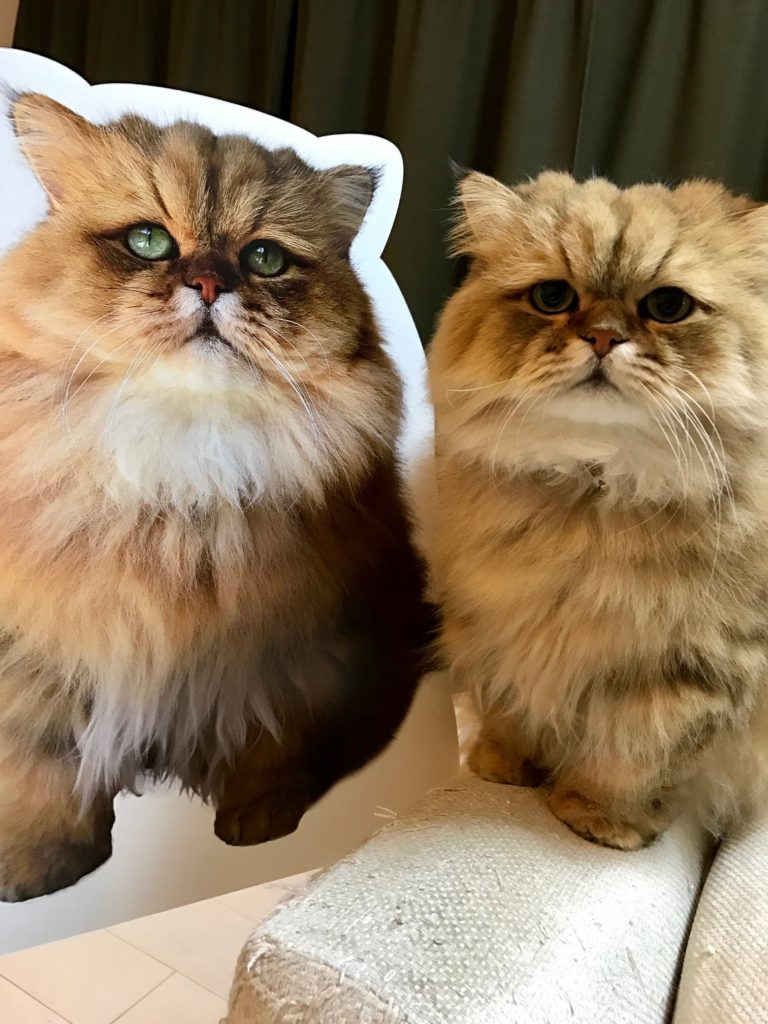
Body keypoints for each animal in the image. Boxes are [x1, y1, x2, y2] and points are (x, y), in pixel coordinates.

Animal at [0, 93, 430, 901]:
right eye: (147, 242)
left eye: (264, 259)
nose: (208, 285)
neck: (185, 459)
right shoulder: (40, 649)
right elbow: (42, 767)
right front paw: (37, 865)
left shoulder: (295, 652)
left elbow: (271, 748)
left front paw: (255, 827)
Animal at [428, 169, 768, 850]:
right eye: (553, 297)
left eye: (668, 307)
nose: (604, 337)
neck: (592, 488)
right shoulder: (493, 629)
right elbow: (510, 713)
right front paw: (499, 769)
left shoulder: (692, 673)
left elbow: (632, 758)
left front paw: (599, 819)